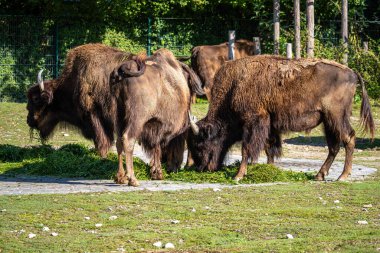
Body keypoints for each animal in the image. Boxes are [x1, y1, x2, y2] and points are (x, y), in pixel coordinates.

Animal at [110, 48, 205, 186]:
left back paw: (120, 177)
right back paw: (132, 179)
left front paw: (155, 172)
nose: (174, 167)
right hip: (136, 120)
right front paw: (158, 172)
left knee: (118, 142)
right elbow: (159, 145)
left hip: (118, 117)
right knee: (128, 140)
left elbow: (156, 146)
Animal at [187, 55, 374, 182]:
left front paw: (238, 175)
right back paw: (319, 175)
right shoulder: (269, 125)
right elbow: (269, 148)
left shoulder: (253, 121)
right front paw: (268, 169)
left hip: (336, 117)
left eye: (200, 144)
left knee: (348, 138)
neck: (234, 86)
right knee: (333, 146)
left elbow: (247, 148)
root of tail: (351, 72)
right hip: (328, 121)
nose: (201, 168)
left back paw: (342, 176)